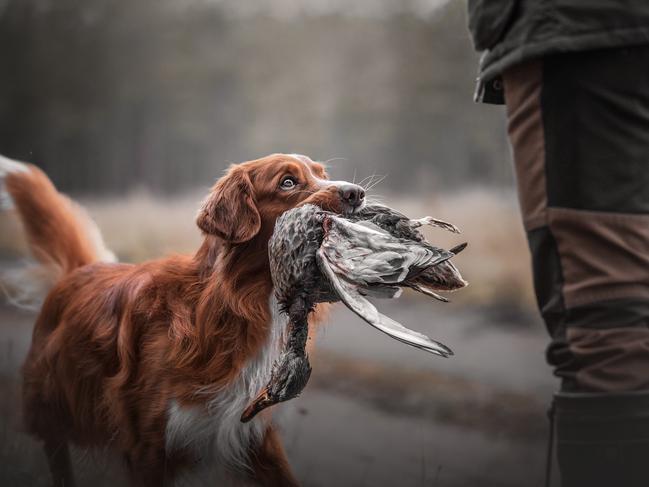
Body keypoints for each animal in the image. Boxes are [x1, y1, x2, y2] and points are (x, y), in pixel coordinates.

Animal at [0, 153, 364, 487]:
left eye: (322, 175)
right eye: (288, 182)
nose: (356, 193)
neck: (230, 305)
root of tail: (82, 269)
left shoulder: (254, 437)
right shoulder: (149, 447)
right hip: (53, 408)